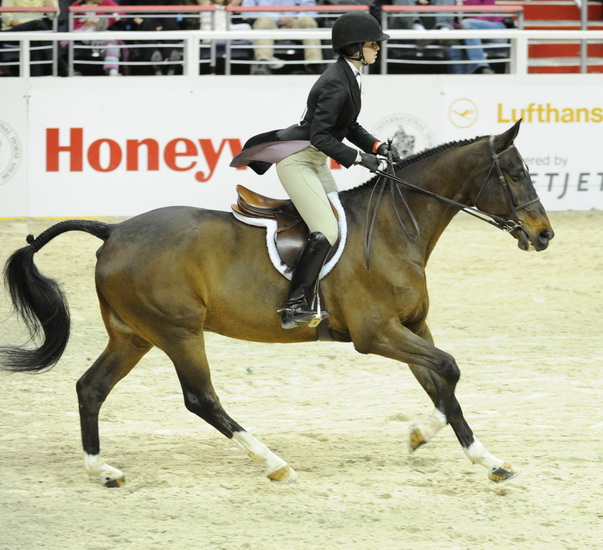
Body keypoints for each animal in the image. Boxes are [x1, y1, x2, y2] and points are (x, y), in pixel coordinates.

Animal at [0, 121, 556, 488]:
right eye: (514, 174)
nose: (544, 235)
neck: (396, 228)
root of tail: (112, 231)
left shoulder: (413, 326)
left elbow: (442, 382)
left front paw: (477, 457)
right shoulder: (376, 334)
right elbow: (450, 369)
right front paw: (429, 436)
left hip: (133, 335)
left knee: (91, 388)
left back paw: (103, 470)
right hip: (179, 332)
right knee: (201, 398)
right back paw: (272, 462)